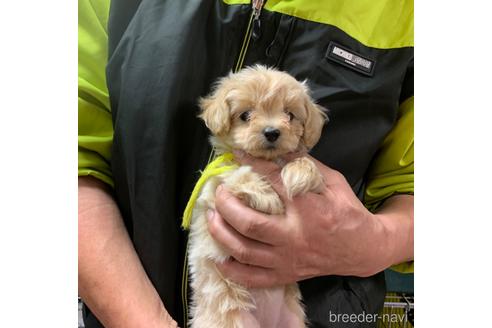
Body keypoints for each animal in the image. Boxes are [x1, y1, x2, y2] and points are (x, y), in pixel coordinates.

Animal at [188, 64, 326, 328]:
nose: (272, 132)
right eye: (245, 115)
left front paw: (299, 172)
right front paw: (265, 195)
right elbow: (235, 174)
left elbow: (307, 169)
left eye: (289, 115)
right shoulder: (212, 190)